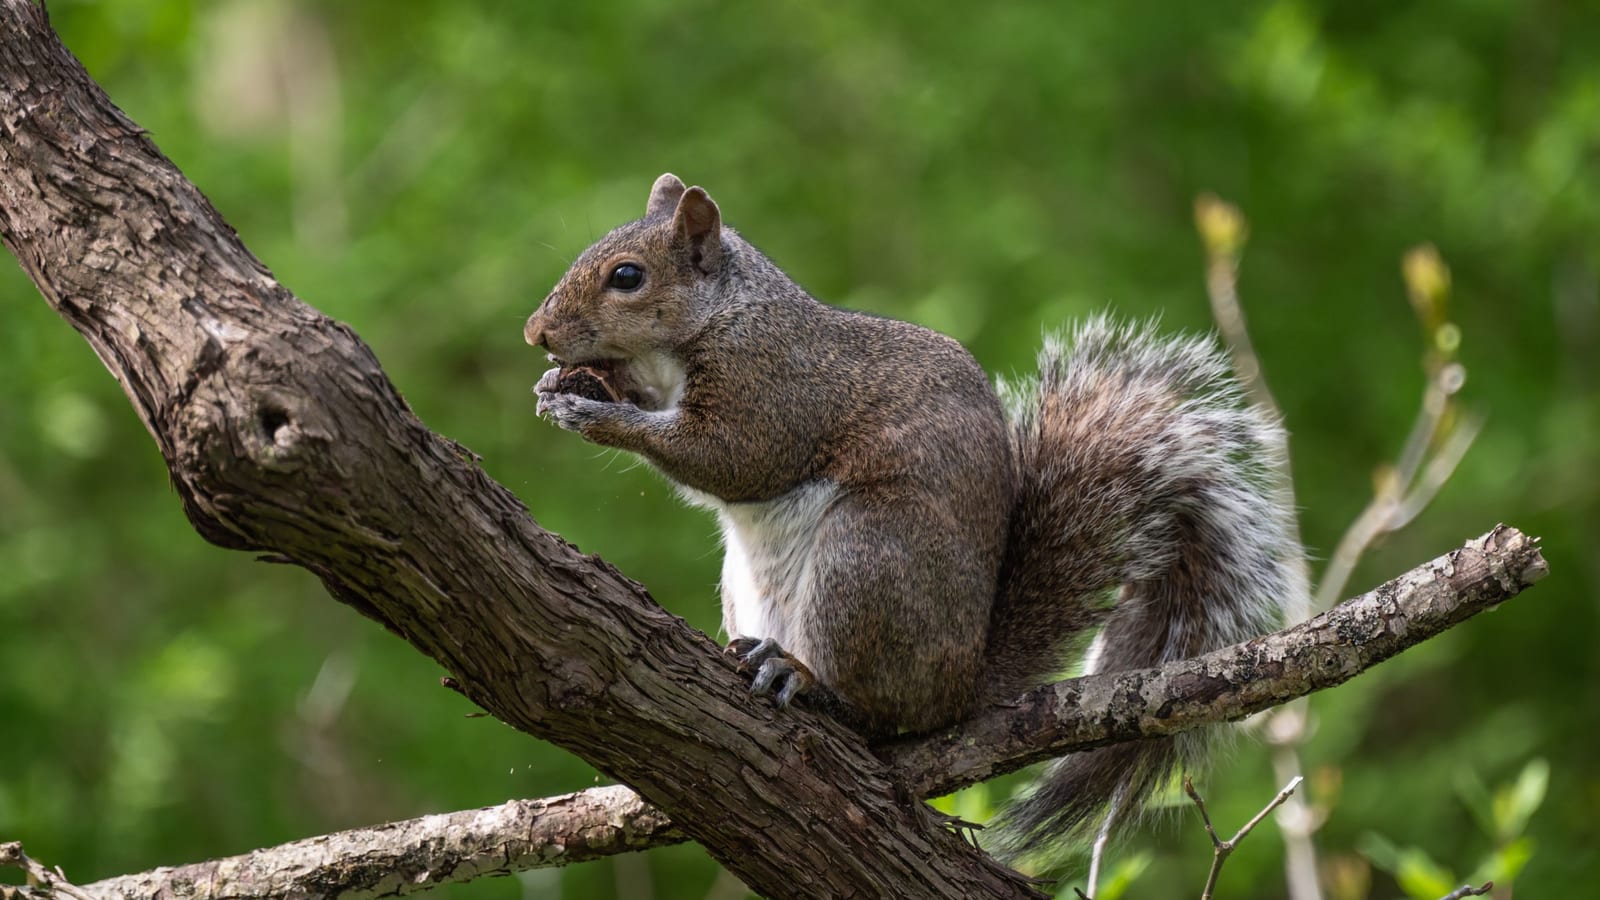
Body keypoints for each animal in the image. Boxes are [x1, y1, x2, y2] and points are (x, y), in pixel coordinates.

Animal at [523, 173, 1304, 853]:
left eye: (628, 277)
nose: (536, 333)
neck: (720, 319)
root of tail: (963, 688)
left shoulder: (775, 388)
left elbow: (730, 459)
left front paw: (597, 414)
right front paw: (572, 385)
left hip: (867, 559)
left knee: (881, 715)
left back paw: (806, 681)